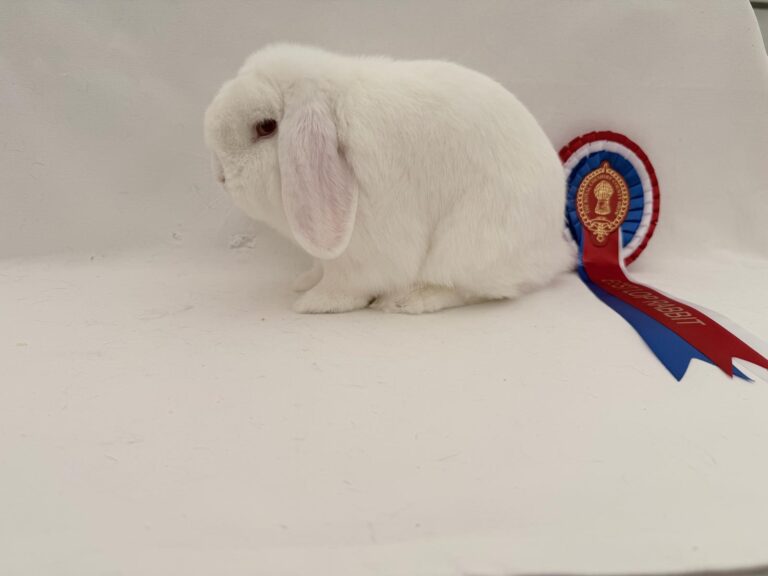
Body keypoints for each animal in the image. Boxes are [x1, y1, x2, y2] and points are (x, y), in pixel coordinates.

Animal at [204, 44, 574, 314]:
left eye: (266, 127)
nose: (220, 177)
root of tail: (555, 251)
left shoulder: (365, 248)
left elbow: (346, 284)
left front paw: (313, 303)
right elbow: (321, 269)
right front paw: (304, 281)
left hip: (471, 245)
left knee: (472, 288)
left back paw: (408, 300)